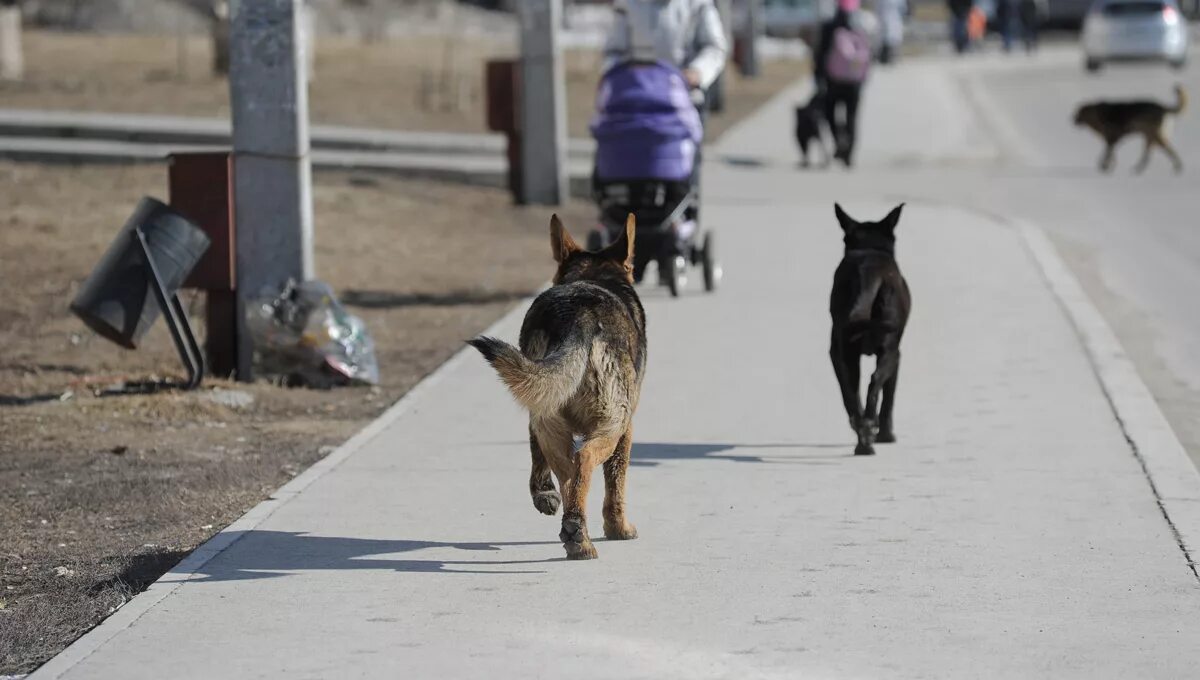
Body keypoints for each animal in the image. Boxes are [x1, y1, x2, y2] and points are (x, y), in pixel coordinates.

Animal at [465, 215, 648, 561]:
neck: (593, 275)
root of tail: (579, 317)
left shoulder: (537, 405)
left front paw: (547, 497)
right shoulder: (628, 426)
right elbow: (616, 482)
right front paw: (619, 528)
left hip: (548, 416)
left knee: (569, 472)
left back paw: (574, 531)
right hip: (612, 421)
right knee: (585, 459)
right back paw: (579, 533)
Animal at [830, 202, 912, 458]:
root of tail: (867, 273)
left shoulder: (836, 354)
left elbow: (848, 394)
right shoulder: (898, 355)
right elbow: (889, 397)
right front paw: (887, 434)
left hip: (846, 351)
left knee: (853, 390)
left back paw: (863, 437)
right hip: (889, 349)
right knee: (874, 383)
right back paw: (869, 432)